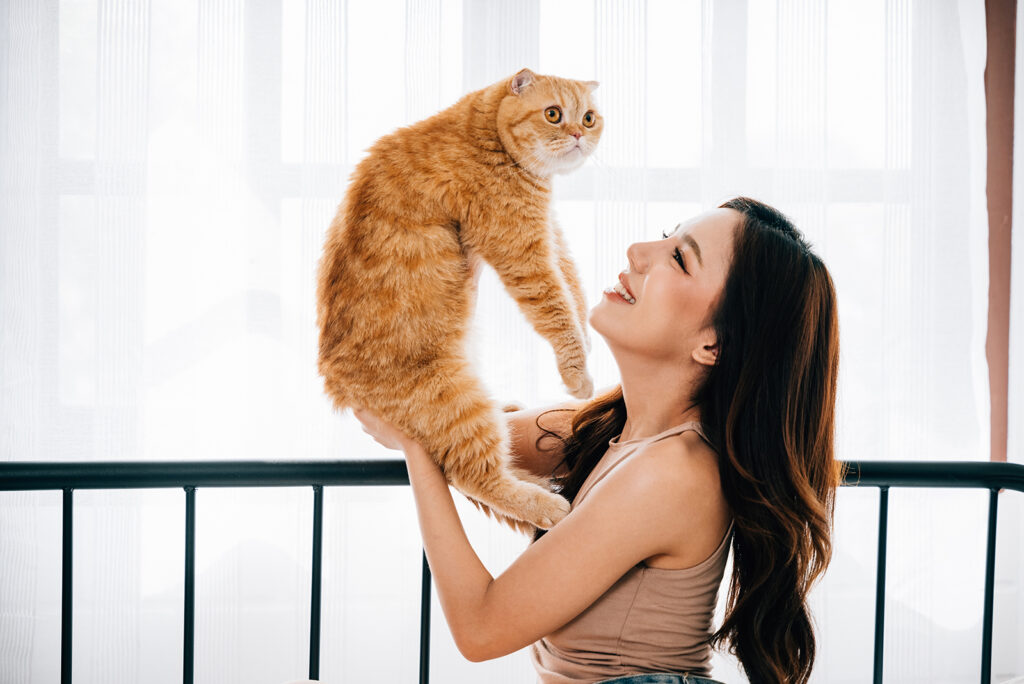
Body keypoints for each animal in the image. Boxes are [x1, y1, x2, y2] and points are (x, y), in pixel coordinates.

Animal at [313, 69, 598, 532]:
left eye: (589, 118)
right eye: (554, 114)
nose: (577, 133)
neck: (480, 131)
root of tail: (336, 384)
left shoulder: (548, 232)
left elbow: (574, 286)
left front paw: (588, 345)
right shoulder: (522, 249)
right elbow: (557, 307)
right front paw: (579, 375)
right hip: (456, 397)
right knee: (475, 476)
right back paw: (548, 504)